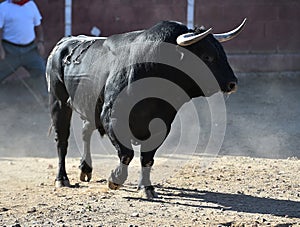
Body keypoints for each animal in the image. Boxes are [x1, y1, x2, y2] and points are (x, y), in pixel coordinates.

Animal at [45, 19, 246, 199]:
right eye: (207, 57)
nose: (232, 83)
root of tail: (65, 42)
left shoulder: (161, 125)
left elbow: (147, 158)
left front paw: (146, 187)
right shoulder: (111, 118)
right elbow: (127, 154)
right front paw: (115, 180)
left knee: (85, 132)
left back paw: (86, 169)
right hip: (59, 103)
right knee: (62, 140)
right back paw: (62, 179)